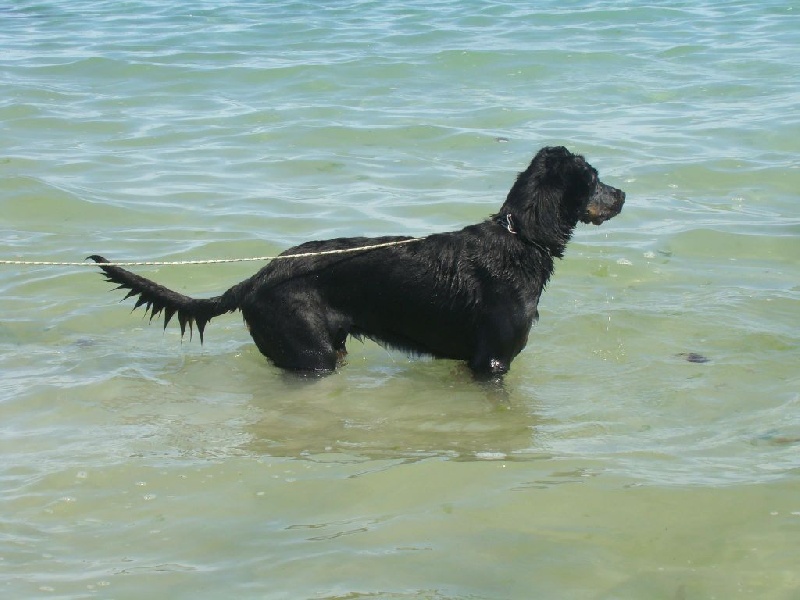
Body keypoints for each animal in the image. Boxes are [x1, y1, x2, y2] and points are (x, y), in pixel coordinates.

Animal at [92, 146, 624, 378]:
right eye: (595, 178)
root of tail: (254, 278)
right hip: (311, 352)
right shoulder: (490, 361)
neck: (521, 238)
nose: (623, 195)